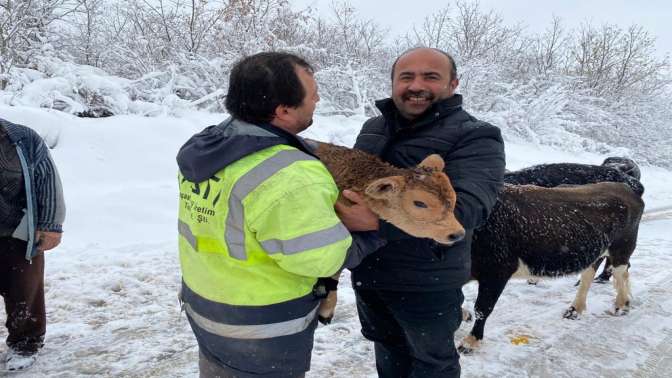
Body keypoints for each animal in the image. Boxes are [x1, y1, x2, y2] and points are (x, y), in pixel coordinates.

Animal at [460, 183, 644, 354]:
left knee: (621, 272)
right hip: (596, 251)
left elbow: (482, 308)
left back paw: (622, 305)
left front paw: (471, 342)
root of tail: (624, 187)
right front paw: (464, 315)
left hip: (622, 247)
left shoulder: (497, 270)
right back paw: (574, 310)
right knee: (590, 275)